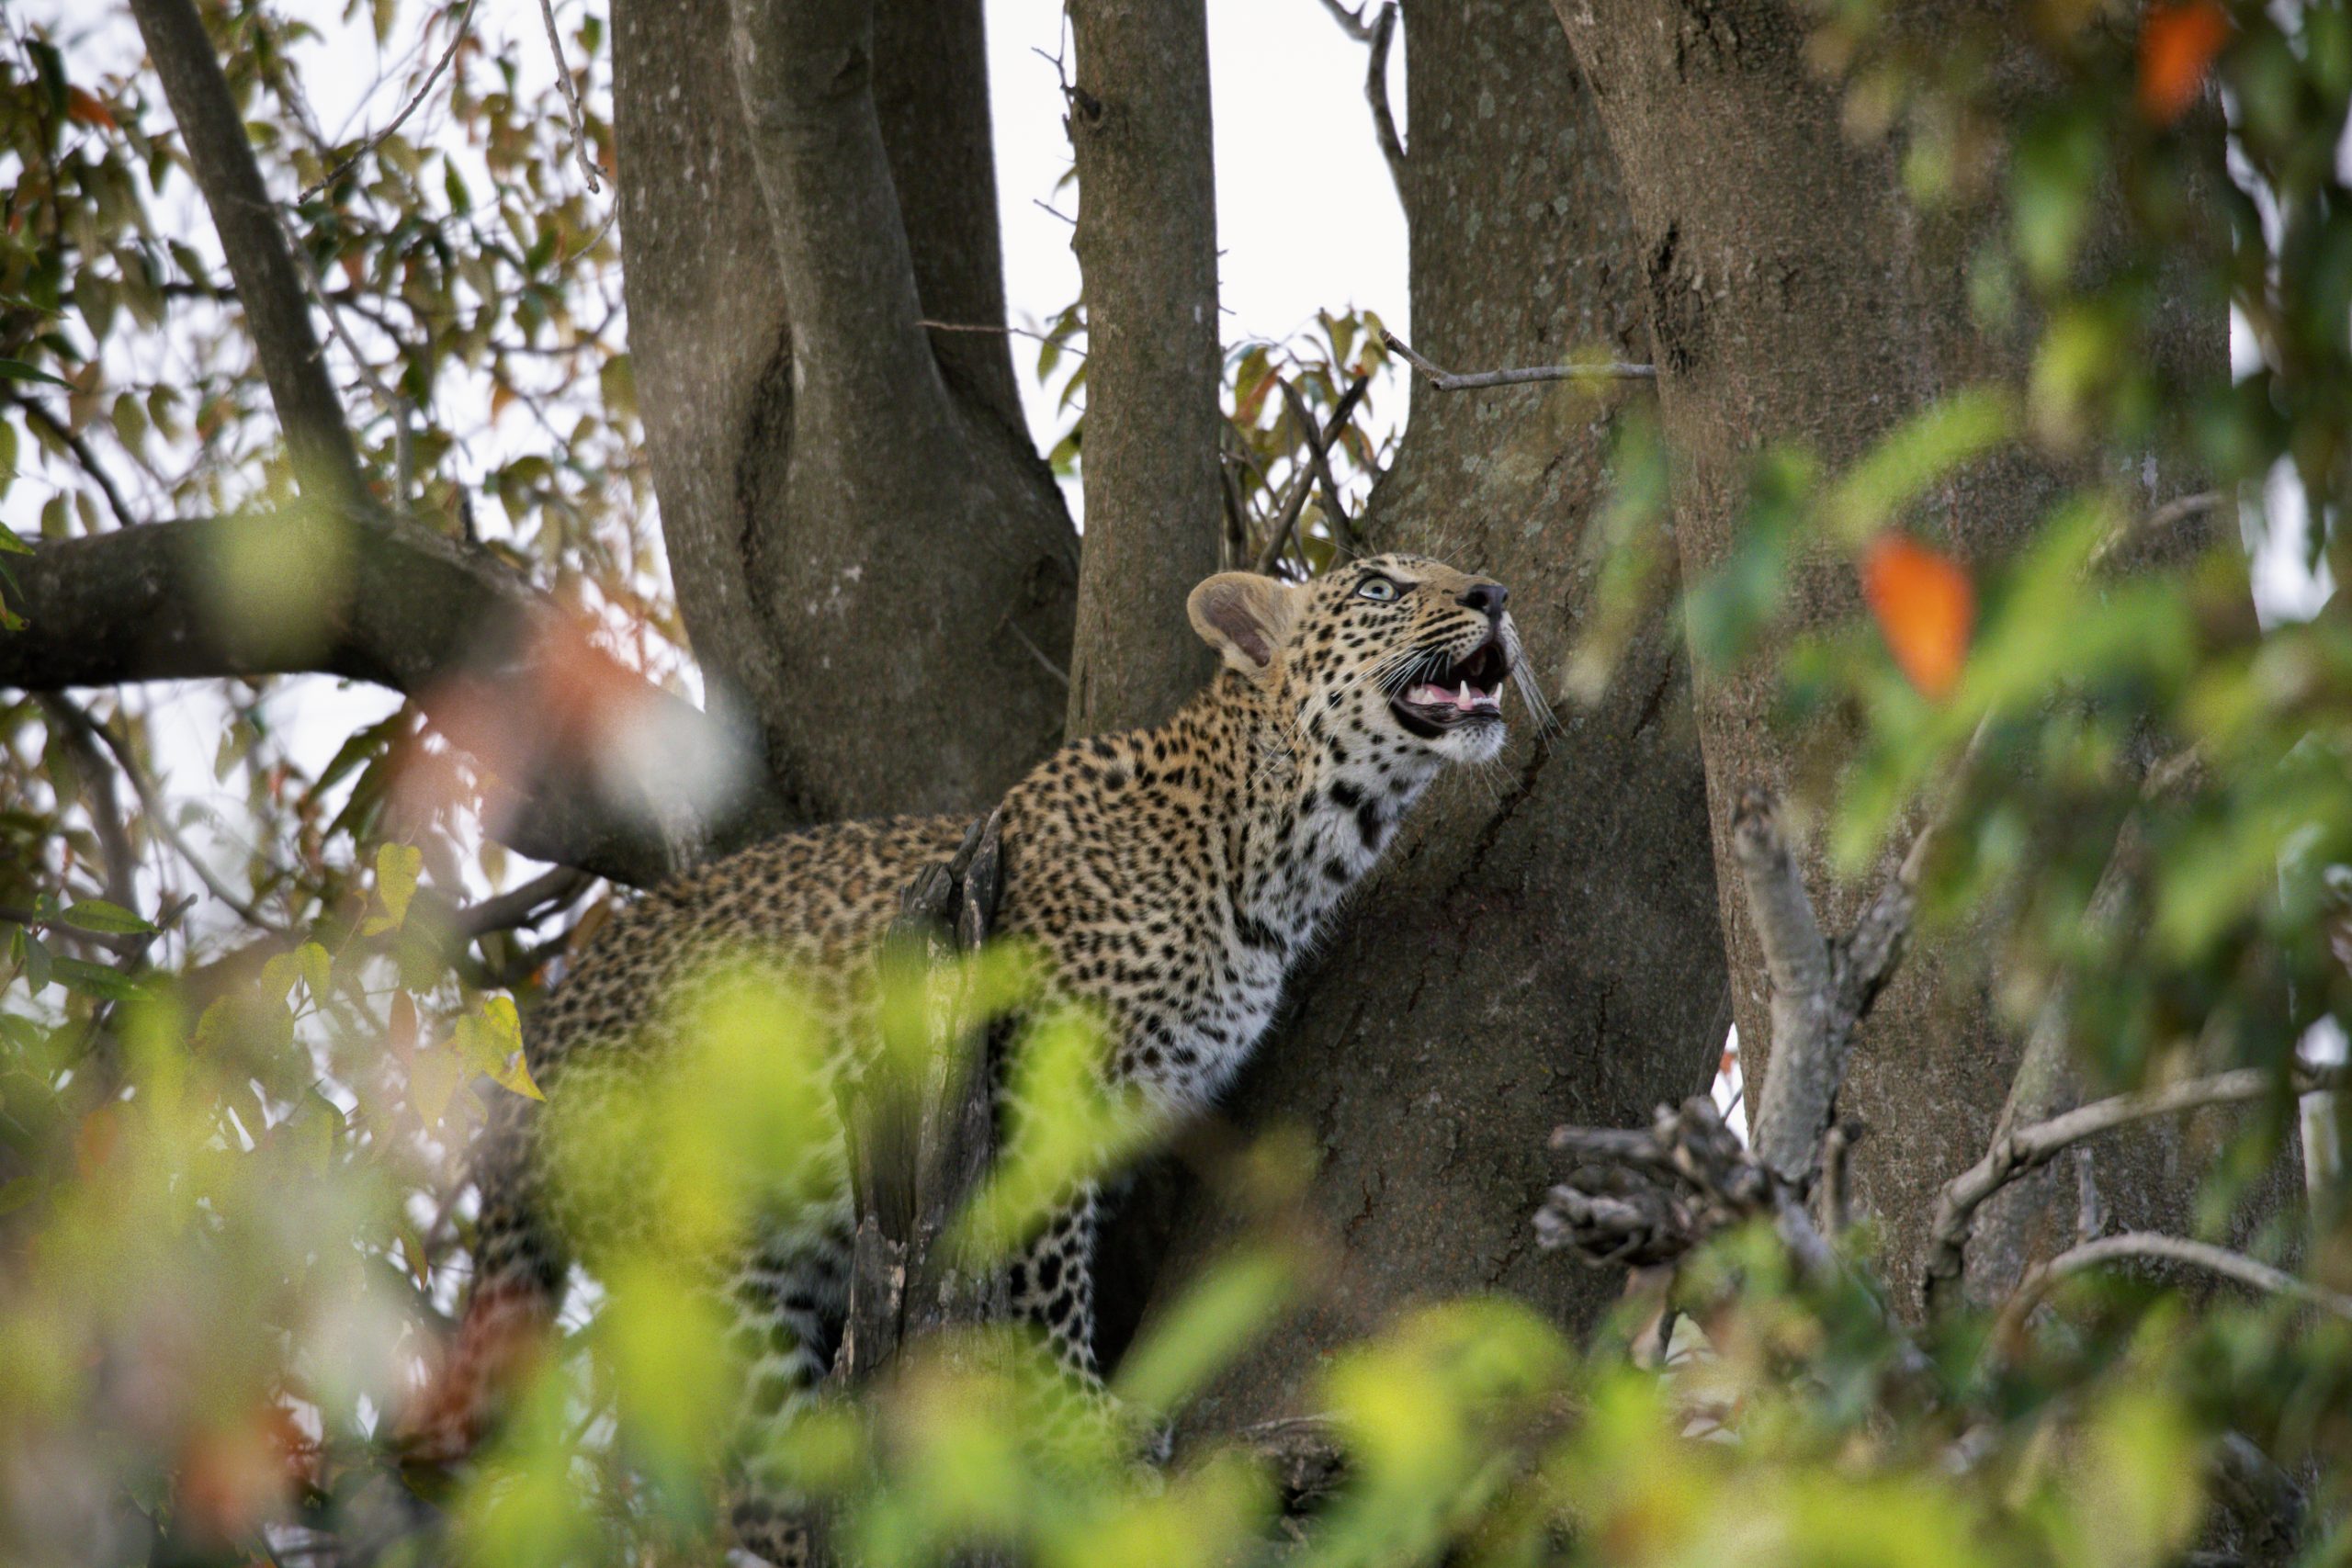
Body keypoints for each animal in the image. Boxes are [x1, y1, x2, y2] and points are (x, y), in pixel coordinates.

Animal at [401, 552, 1533, 1561]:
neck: (1282, 848)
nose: (1495, 592)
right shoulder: (1038, 1087)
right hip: (704, 1250)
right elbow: (1044, 1283)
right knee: (751, 1479)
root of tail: (536, 1039)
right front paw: (1085, 1429)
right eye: (1380, 586)